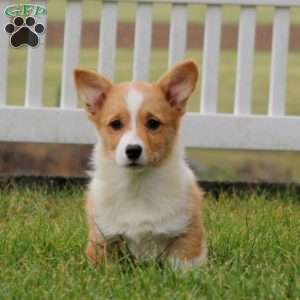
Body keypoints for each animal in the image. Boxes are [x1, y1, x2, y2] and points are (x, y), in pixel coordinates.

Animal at [74, 59, 207, 270]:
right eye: (116, 124)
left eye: (153, 123)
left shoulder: (187, 232)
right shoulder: (102, 238)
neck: (137, 184)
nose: (133, 150)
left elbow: (183, 263)